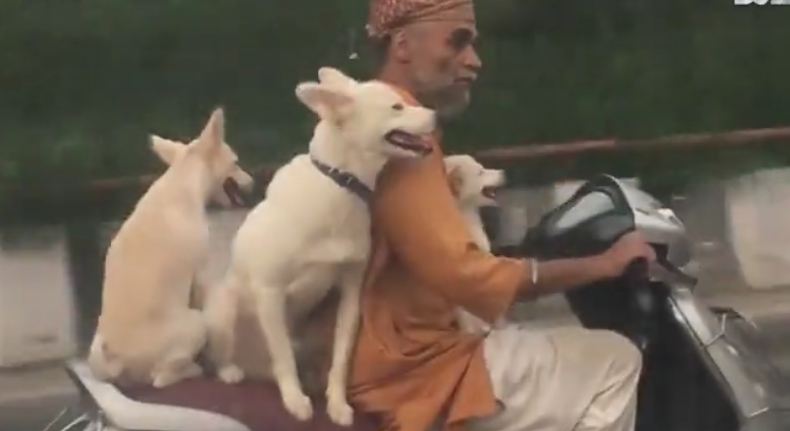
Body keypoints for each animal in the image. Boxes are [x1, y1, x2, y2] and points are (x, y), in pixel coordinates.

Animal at [88, 108, 254, 388]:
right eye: (235, 162)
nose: (252, 182)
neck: (183, 182)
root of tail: (116, 359)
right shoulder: (201, 275)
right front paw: (224, 367)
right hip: (195, 323)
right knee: (160, 377)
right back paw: (191, 369)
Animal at [204, 66, 440, 426]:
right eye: (396, 107)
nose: (436, 114)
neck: (339, 181)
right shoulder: (269, 291)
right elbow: (283, 356)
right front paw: (294, 400)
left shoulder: (351, 292)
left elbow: (340, 359)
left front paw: (337, 403)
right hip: (225, 312)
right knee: (226, 355)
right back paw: (232, 371)